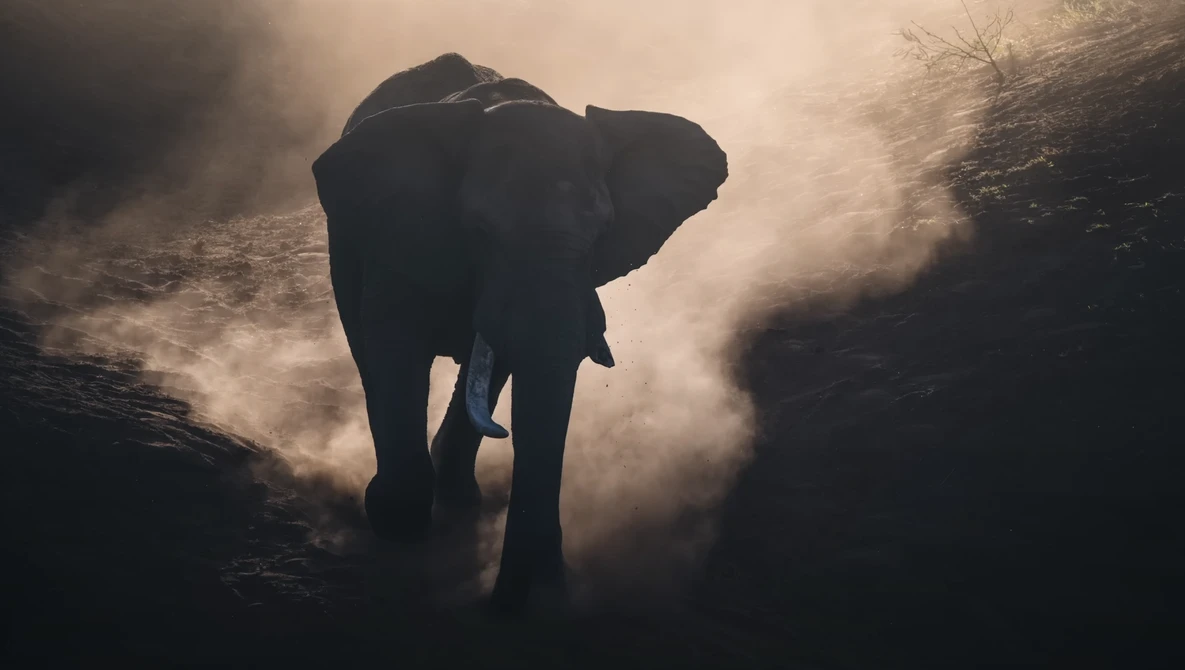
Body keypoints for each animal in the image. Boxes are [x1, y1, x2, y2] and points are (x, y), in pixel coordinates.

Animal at [311, 53, 728, 613]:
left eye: (603, 233)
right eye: (480, 231)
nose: (523, 599)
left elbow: (505, 361)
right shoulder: (402, 230)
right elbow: (394, 345)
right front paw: (397, 524)